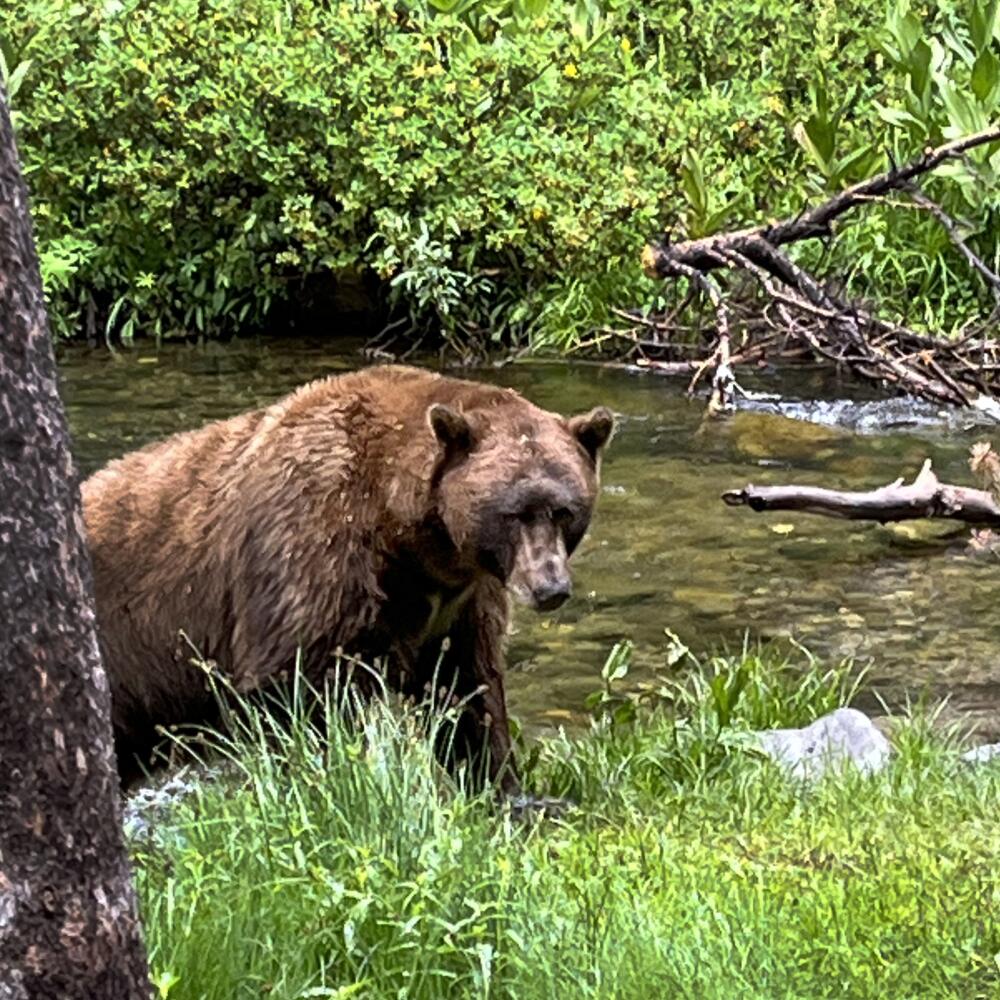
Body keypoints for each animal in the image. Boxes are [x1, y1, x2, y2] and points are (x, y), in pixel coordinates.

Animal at [82, 364, 612, 792]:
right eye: (514, 512)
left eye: (565, 510)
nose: (550, 587)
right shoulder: (312, 550)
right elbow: (294, 685)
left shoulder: (460, 600)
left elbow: (467, 687)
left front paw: (504, 787)